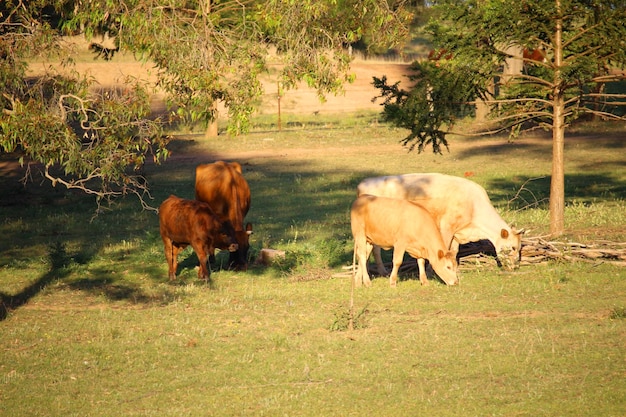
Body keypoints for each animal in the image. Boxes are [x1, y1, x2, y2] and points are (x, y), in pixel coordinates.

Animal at [356, 171, 520, 274]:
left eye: (519, 248)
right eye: (512, 247)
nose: (516, 266)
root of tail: (364, 183)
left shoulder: (457, 232)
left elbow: (454, 251)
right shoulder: (446, 227)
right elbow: (443, 249)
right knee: (374, 249)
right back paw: (381, 271)